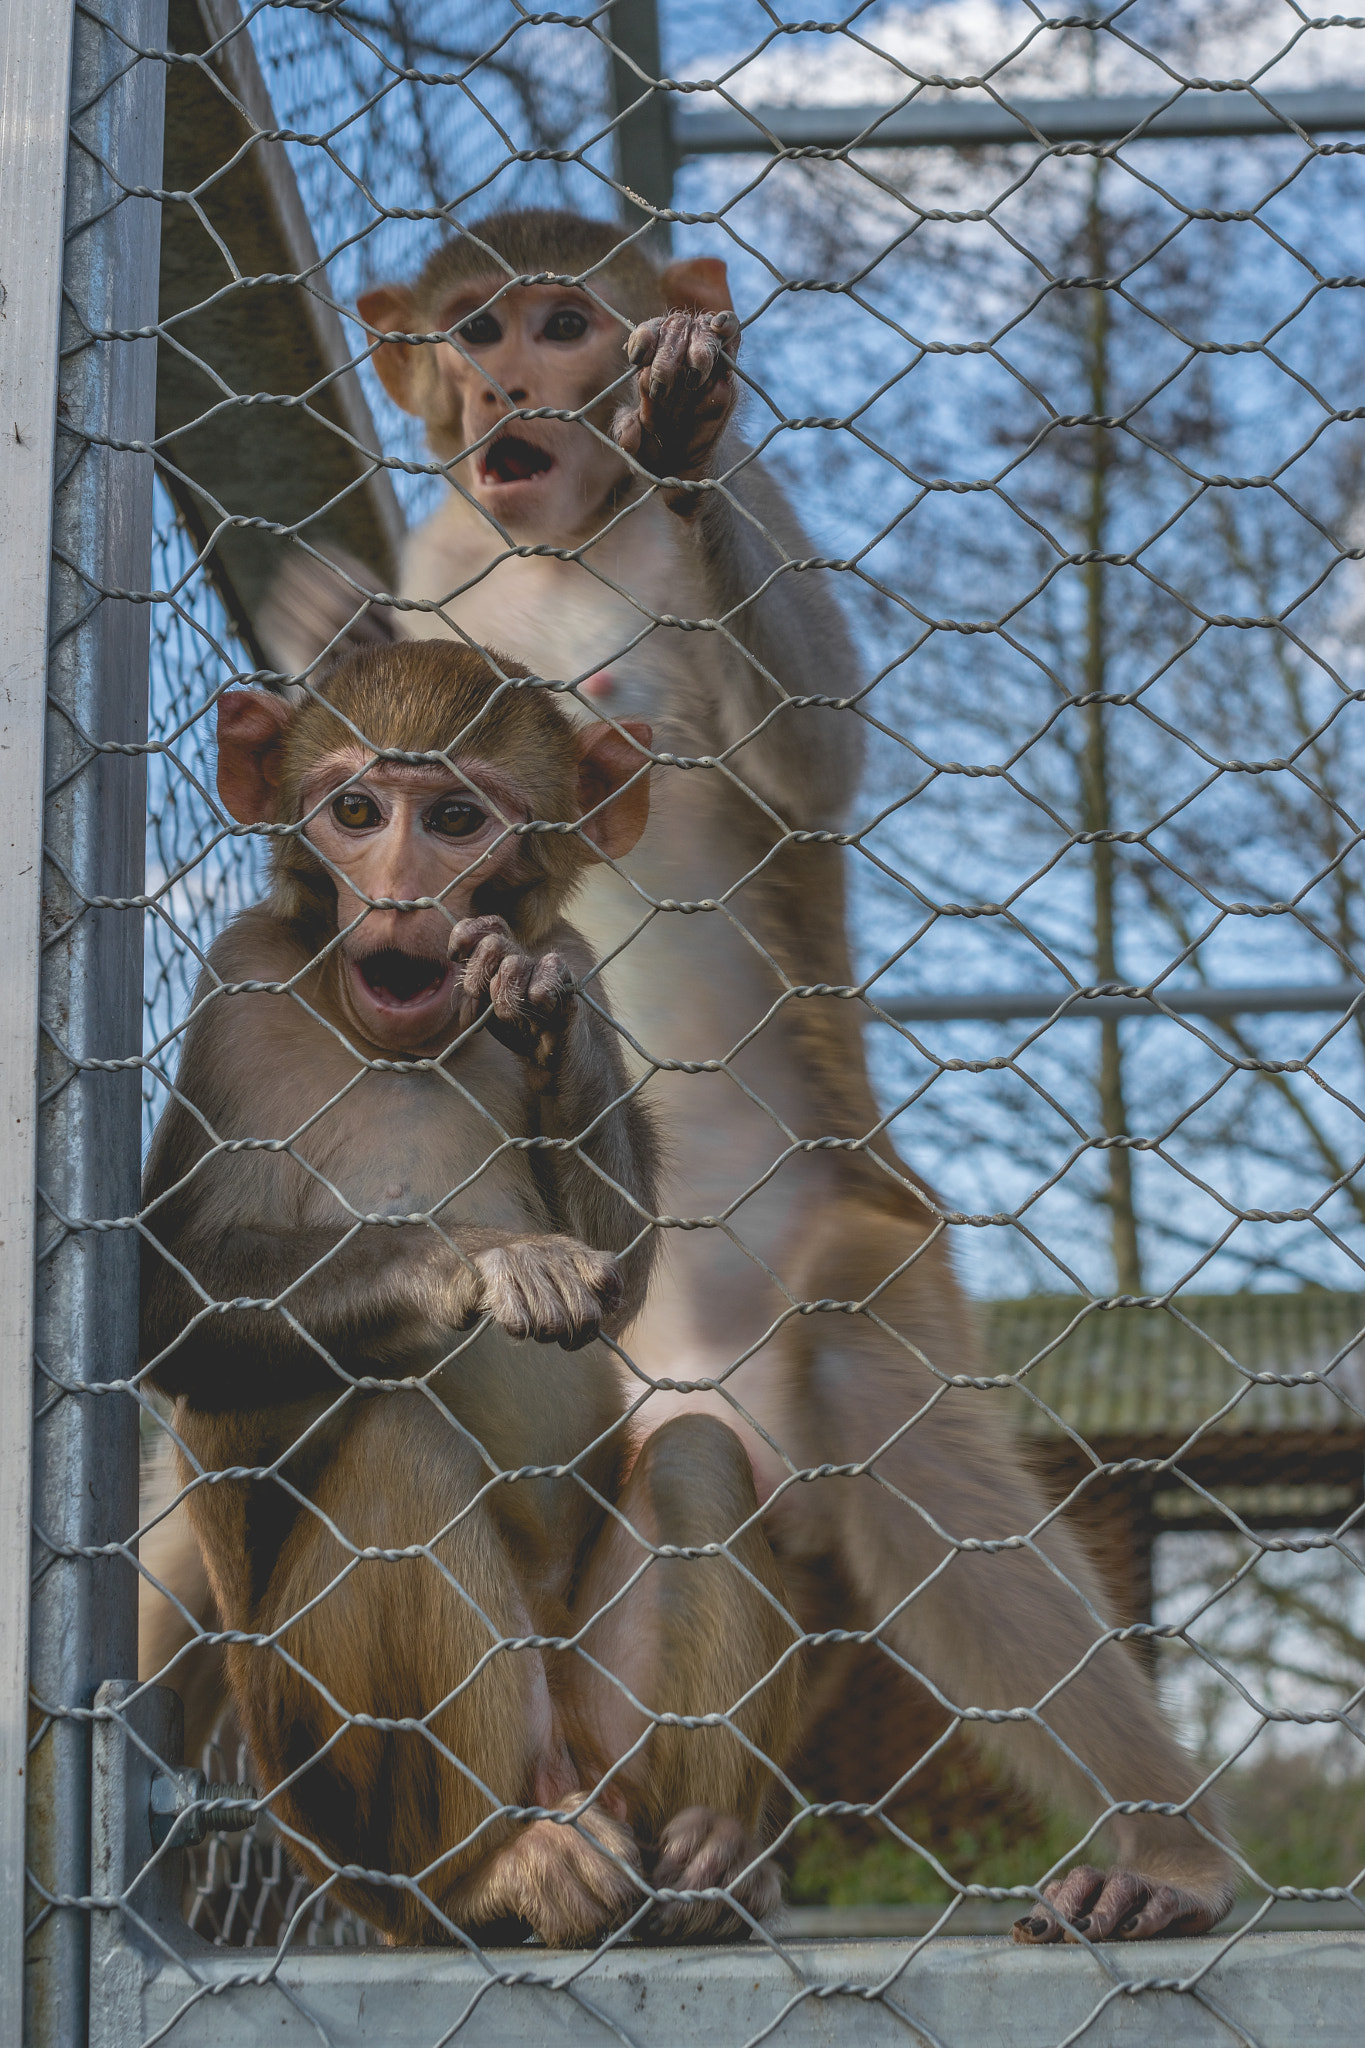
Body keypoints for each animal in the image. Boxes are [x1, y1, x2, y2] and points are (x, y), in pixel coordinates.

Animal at [139, 638, 803, 1947]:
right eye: (355, 812)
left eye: (454, 819)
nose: (399, 892)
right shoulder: (236, 992)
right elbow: (168, 1311)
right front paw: (474, 1257)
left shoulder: (586, 964)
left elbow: (622, 1272)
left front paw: (539, 1019)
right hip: (329, 1793)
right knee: (403, 1452)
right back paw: (498, 1872)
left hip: (597, 1724)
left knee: (696, 1453)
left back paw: (711, 1859)